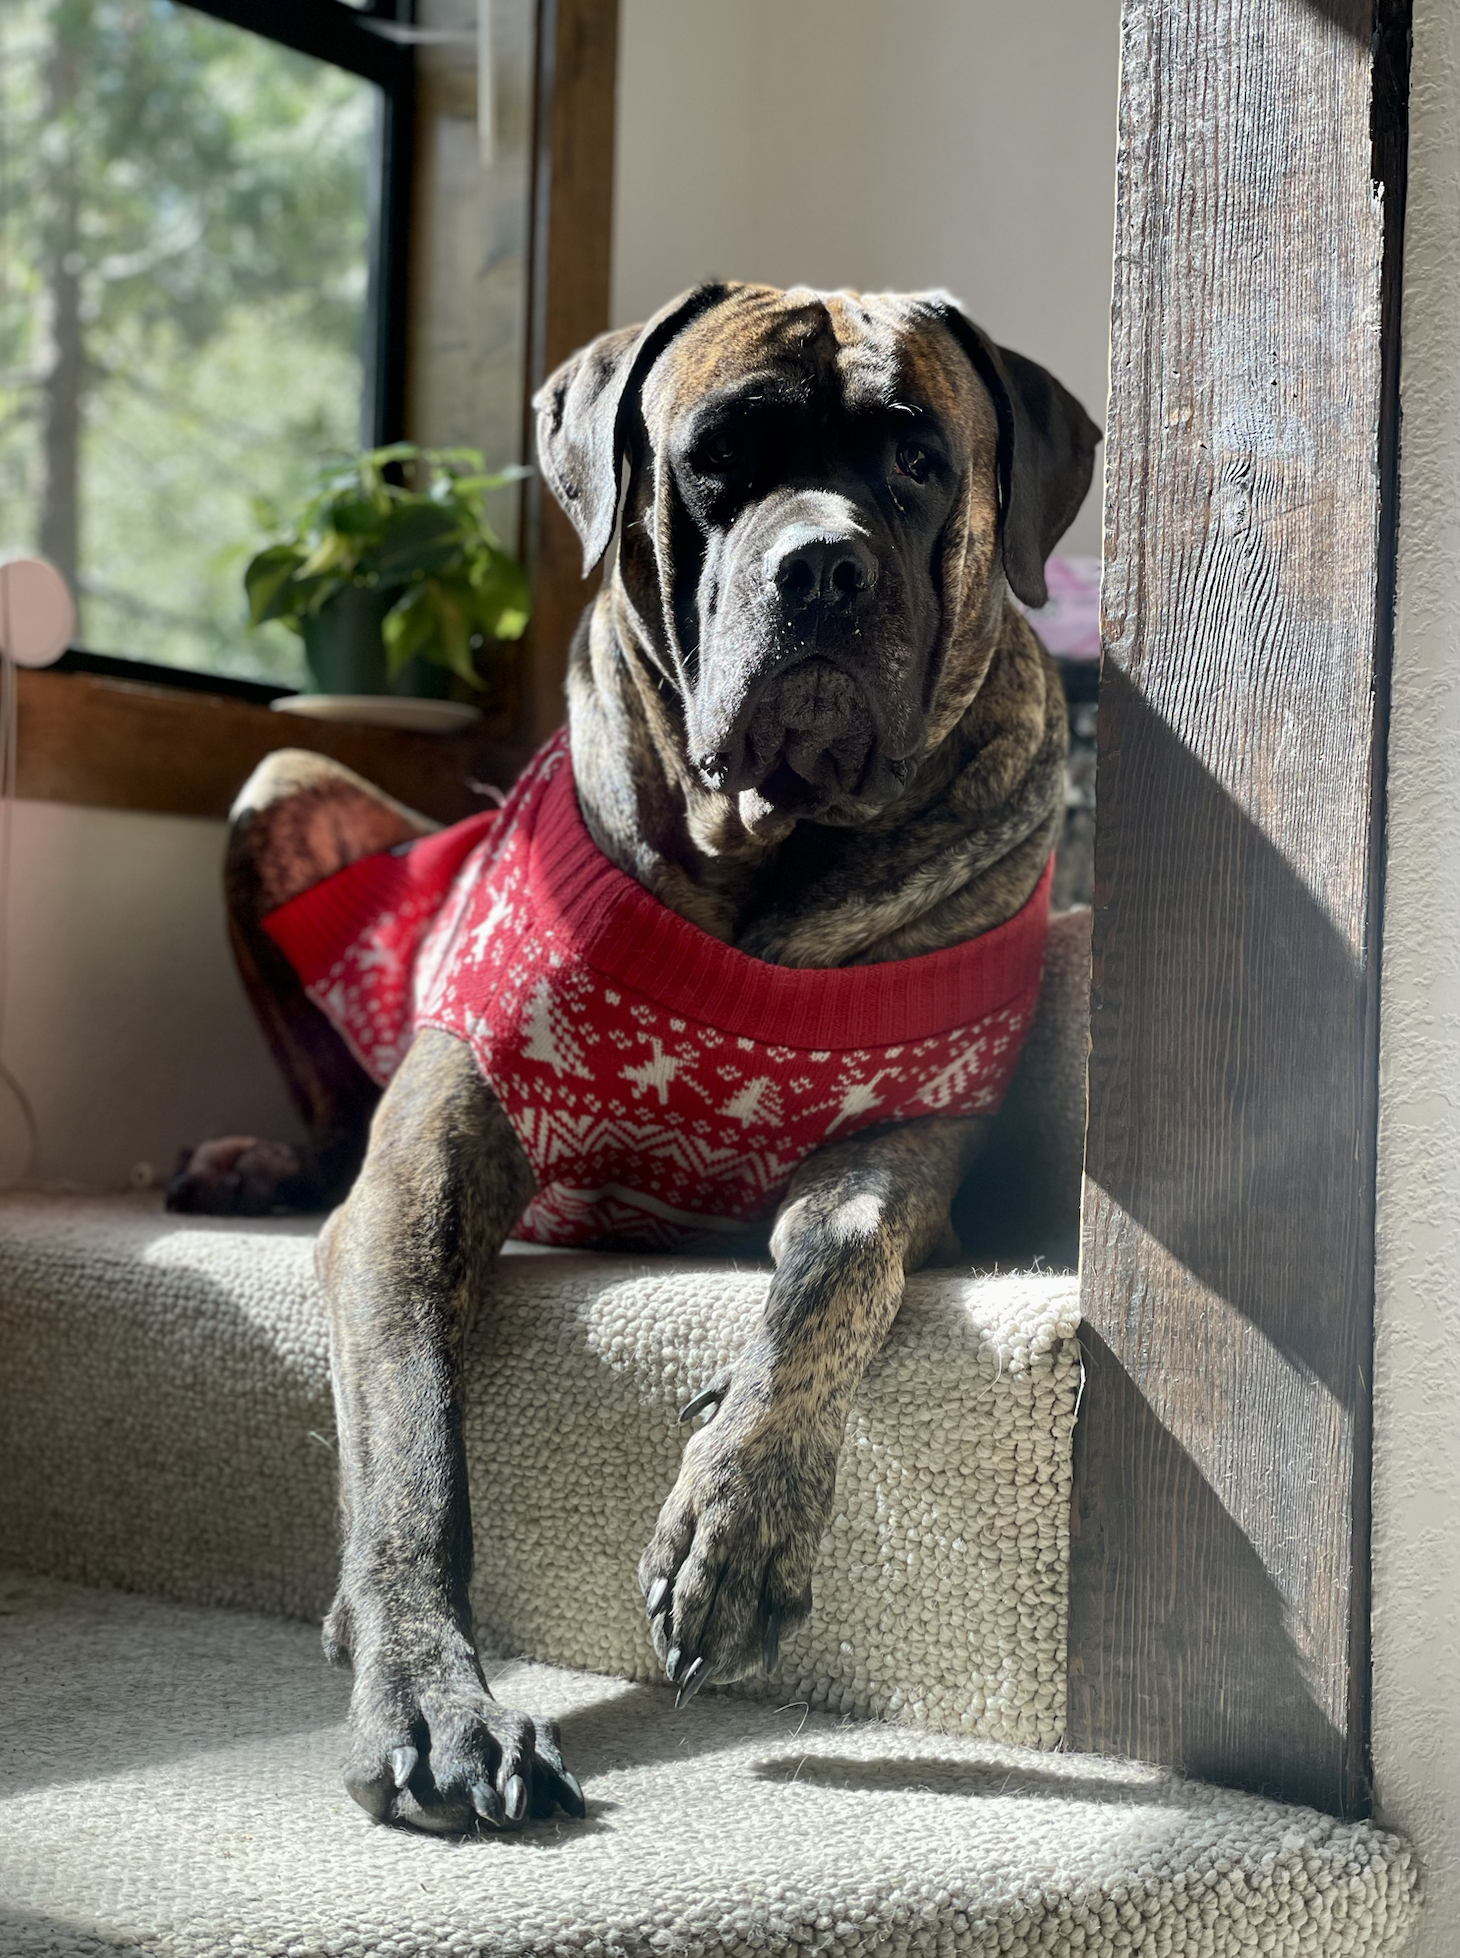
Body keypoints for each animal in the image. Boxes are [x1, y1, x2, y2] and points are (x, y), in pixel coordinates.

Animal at [167, 279, 1095, 1832]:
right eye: (717, 457)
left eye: (917, 461)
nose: (821, 570)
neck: (769, 863)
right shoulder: (422, 1179)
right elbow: (415, 1444)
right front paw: (432, 1693)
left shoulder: (908, 1142)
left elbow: (835, 1261)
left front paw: (738, 1509)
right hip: (280, 785)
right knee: (329, 1101)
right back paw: (250, 1166)